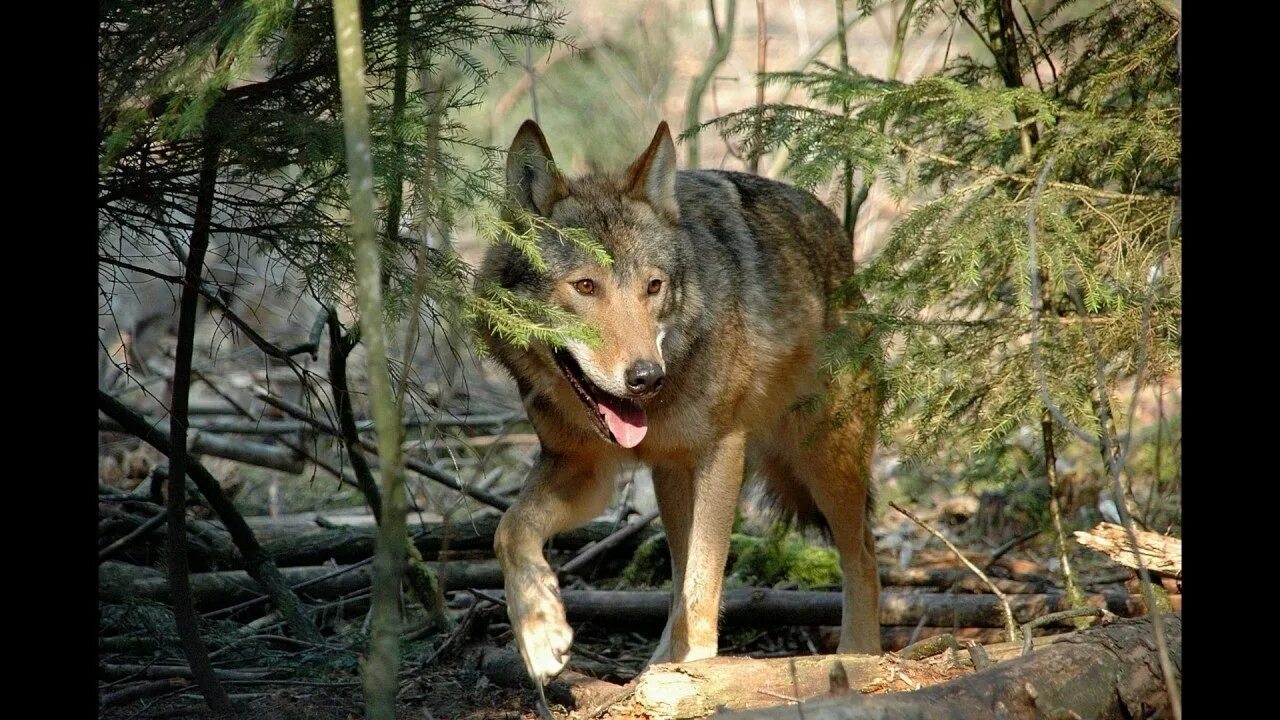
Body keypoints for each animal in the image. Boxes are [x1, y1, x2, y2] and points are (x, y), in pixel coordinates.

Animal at [478, 119, 880, 681]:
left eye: (653, 286)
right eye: (585, 286)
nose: (646, 377)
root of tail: (840, 242)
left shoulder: (722, 450)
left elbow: (703, 584)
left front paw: (703, 670)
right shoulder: (583, 471)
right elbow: (509, 529)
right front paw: (539, 635)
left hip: (826, 461)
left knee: (863, 556)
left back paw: (859, 656)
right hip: (671, 477)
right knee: (675, 578)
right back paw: (656, 667)